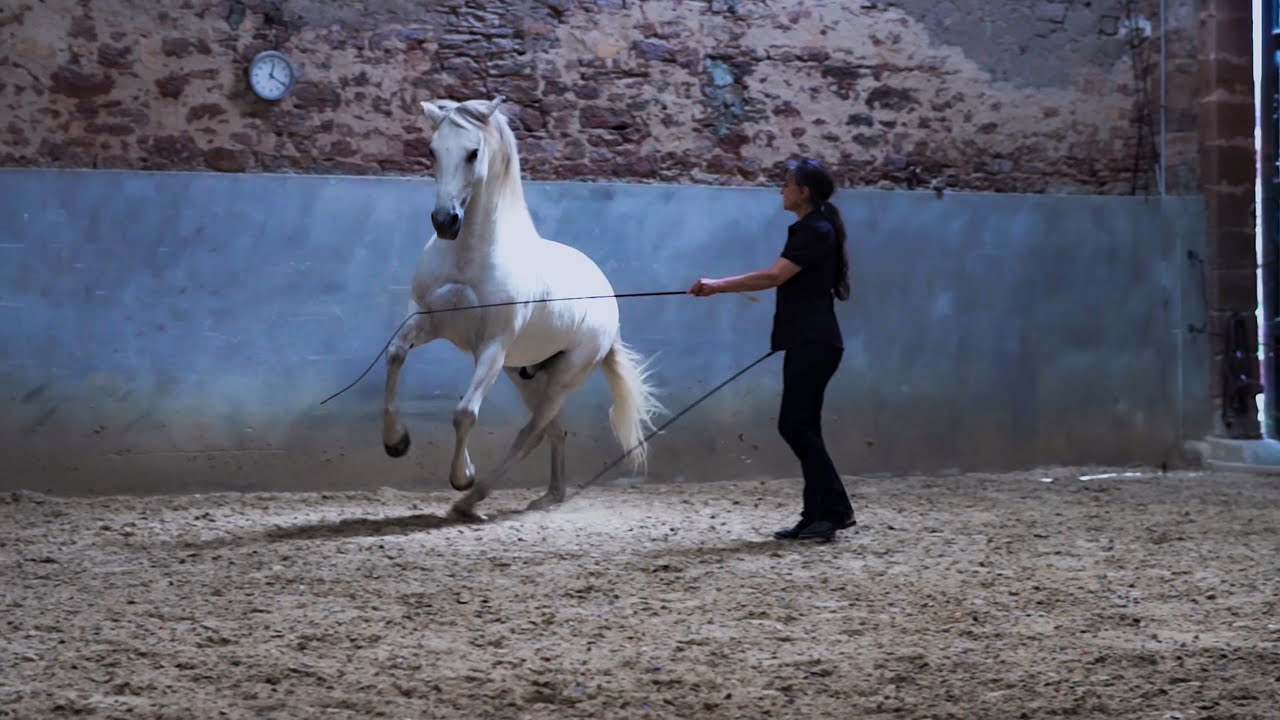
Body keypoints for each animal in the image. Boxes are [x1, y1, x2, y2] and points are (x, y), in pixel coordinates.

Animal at [380, 95, 664, 519]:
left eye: (473, 152)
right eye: (432, 150)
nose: (445, 221)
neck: (469, 256)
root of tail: (608, 299)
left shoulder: (492, 347)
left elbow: (465, 413)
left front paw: (462, 476)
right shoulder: (428, 321)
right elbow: (396, 354)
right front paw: (396, 442)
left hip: (563, 377)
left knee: (531, 433)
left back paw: (470, 499)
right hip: (524, 375)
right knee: (553, 430)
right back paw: (549, 496)